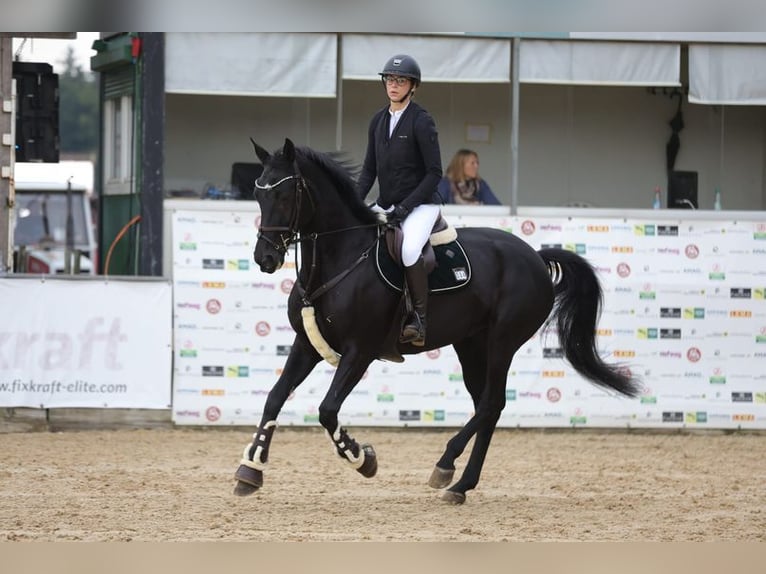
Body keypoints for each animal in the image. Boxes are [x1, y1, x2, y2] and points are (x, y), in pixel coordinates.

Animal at [233, 138, 641, 504]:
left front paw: (364, 460)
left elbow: (327, 410)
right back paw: (460, 485)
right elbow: (274, 398)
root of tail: (536, 257)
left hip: (502, 341)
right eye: (257, 194)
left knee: (491, 404)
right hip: (471, 344)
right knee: (486, 406)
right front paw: (250, 470)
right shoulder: (306, 345)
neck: (340, 258)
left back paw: (447, 466)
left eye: (285, 196)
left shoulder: (359, 351)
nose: (265, 258)